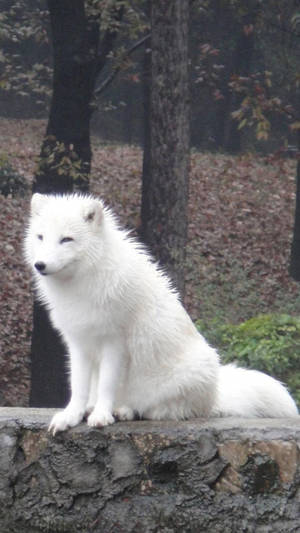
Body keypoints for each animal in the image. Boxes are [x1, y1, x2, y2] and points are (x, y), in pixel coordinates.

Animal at [24, 192, 298, 432]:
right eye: (40, 237)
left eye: (66, 239)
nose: (40, 265)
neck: (83, 284)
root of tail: (215, 396)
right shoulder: (79, 343)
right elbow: (78, 387)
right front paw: (71, 417)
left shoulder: (114, 343)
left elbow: (106, 385)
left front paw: (102, 415)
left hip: (188, 374)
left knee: (156, 410)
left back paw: (124, 410)